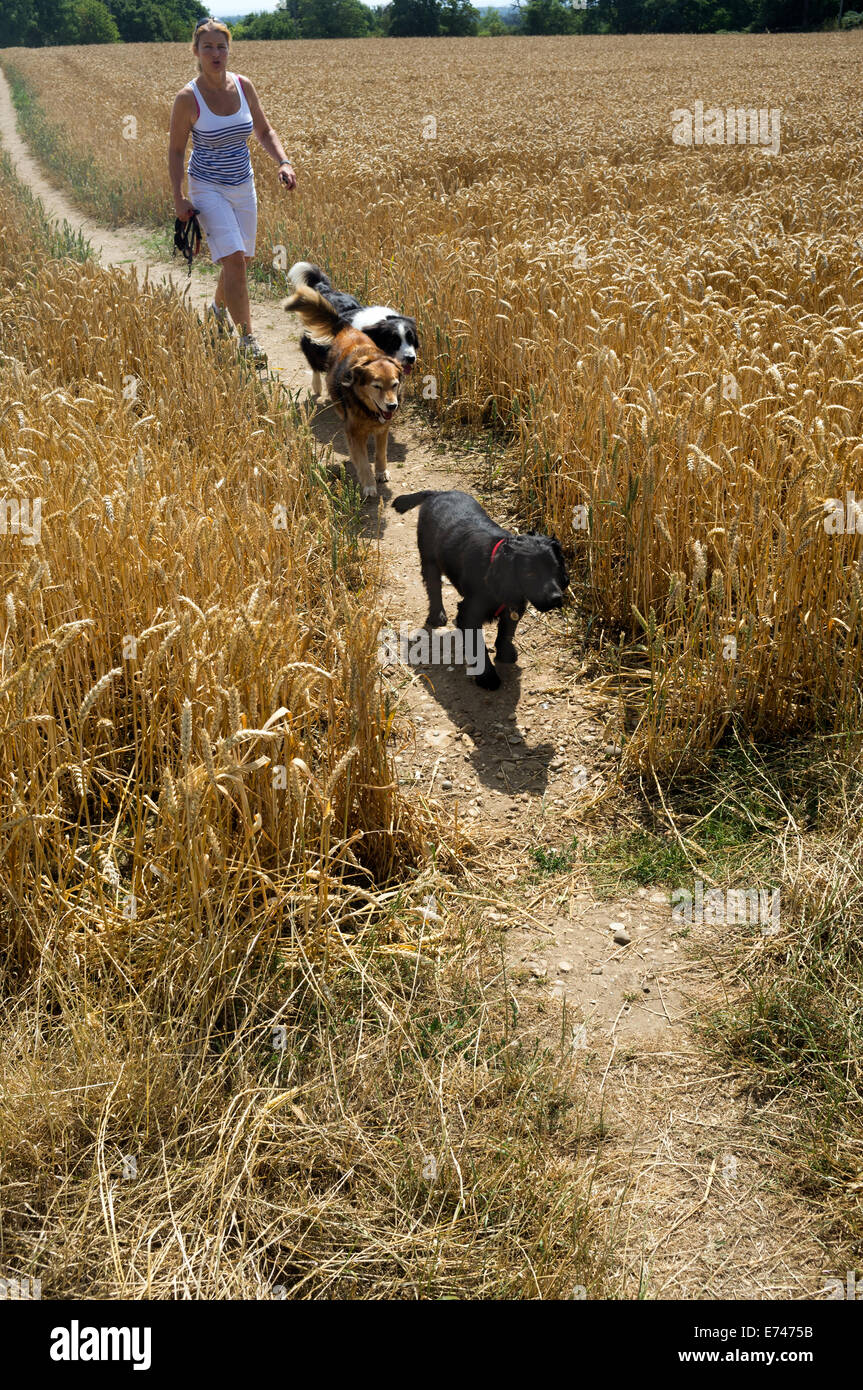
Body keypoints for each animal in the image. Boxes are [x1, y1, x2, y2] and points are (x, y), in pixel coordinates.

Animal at [284, 280, 403, 500]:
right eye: (376, 386)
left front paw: (381, 472)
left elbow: (381, 454)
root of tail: (347, 327)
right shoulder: (354, 433)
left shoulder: (382, 429)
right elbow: (363, 462)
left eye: (394, 384)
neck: (367, 409)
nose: (392, 406)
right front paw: (368, 485)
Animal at [286, 261, 416, 394]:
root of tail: (323, 287)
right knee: (313, 360)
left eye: (411, 339)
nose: (411, 358)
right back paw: (317, 385)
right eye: (394, 341)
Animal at [389, 489, 564, 689]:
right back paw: (437, 615)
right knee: (433, 588)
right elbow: (478, 647)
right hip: (429, 558)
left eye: (556, 568)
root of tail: (438, 492)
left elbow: (507, 631)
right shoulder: (469, 613)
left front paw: (505, 653)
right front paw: (487, 677)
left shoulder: (514, 607)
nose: (557, 598)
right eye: (530, 574)